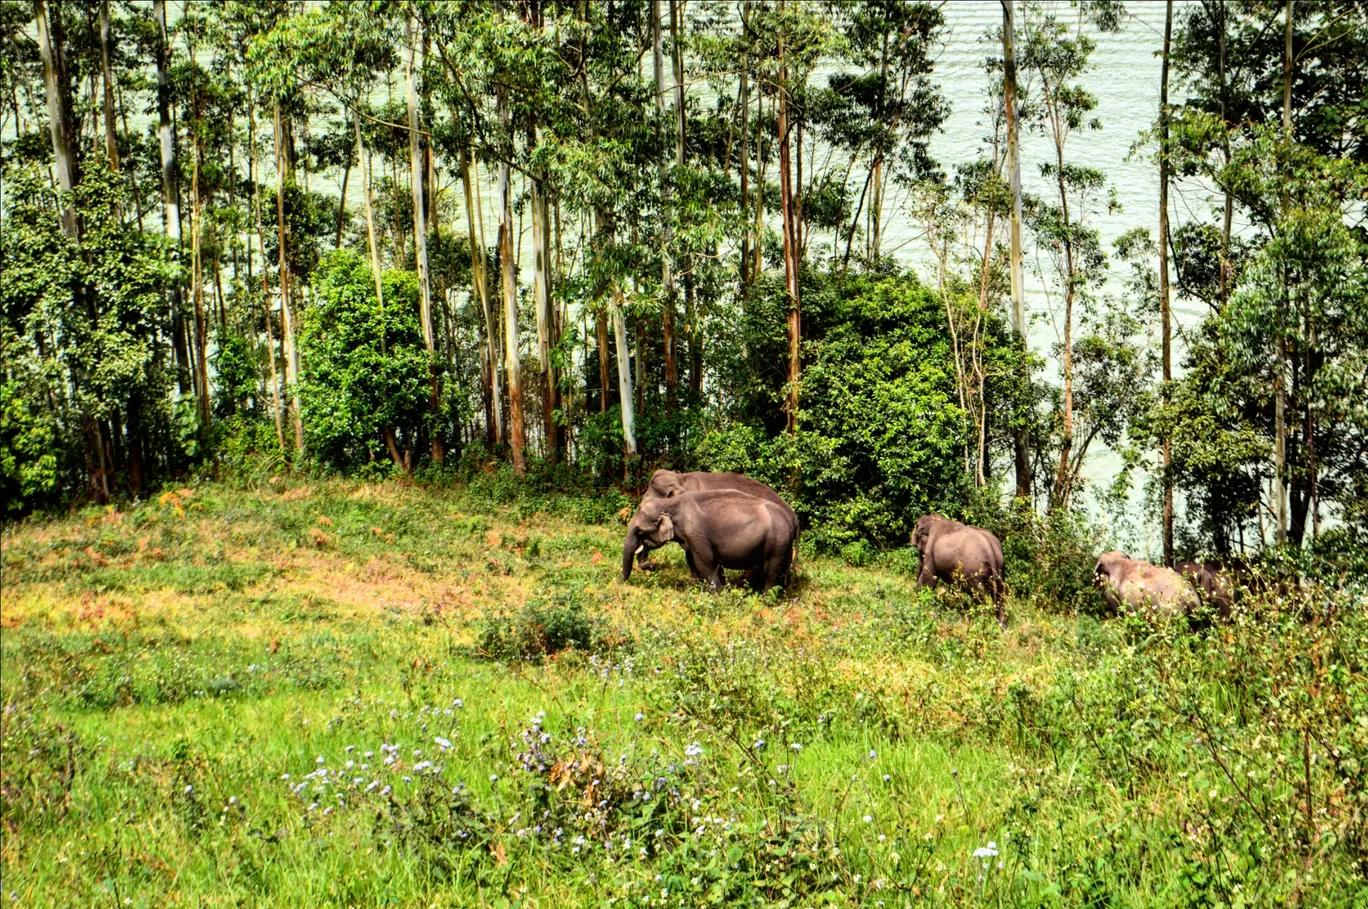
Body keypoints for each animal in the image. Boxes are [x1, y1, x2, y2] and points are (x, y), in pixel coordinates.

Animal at [623, 490, 798, 596]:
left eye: (639, 530)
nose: (653, 566)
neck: (670, 503)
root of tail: (791, 519)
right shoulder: (690, 540)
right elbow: (694, 562)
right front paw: (709, 590)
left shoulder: (696, 534)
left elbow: (705, 562)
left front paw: (715, 594)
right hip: (783, 545)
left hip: (777, 544)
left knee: (772, 573)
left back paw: (766, 598)